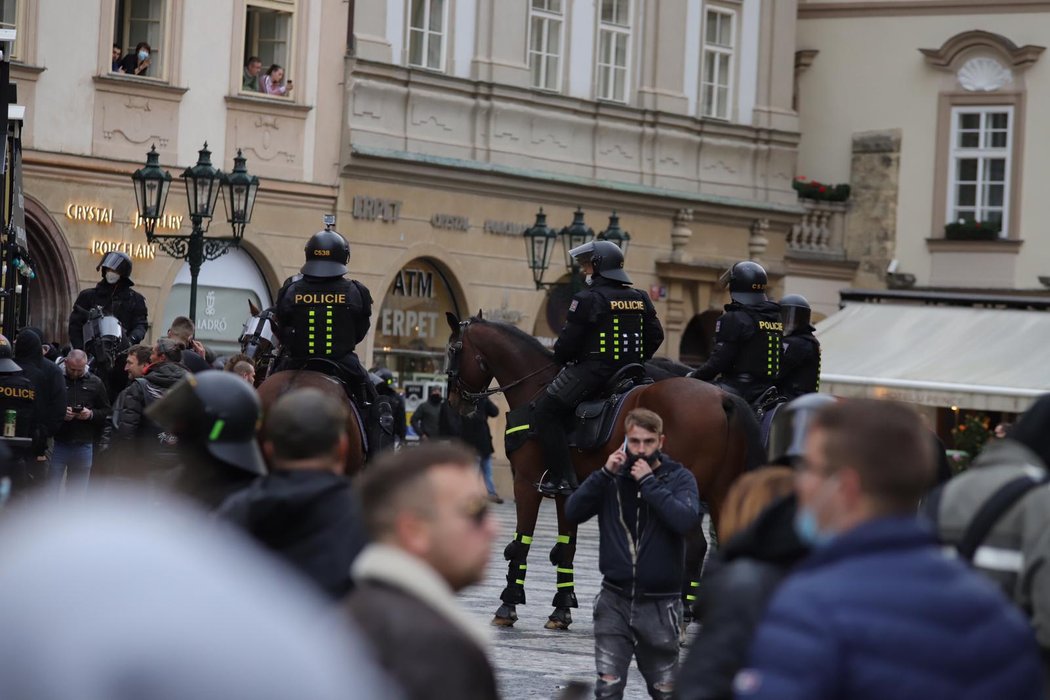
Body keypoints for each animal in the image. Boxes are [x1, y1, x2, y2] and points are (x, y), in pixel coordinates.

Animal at [445, 312, 764, 629]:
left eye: (452, 350)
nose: (454, 402)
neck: (536, 389)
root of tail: (723, 398)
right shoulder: (567, 491)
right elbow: (567, 546)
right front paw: (561, 609)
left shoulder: (526, 483)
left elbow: (521, 543)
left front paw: (508, 604)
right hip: (723, 494)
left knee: (696, 546)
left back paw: (683, 614)